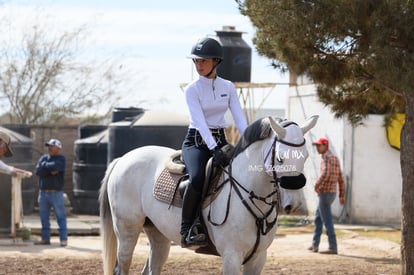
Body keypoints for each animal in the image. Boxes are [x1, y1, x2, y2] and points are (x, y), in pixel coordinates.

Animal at [98, 115, 318, 274]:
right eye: (280, 158)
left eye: (305, 156)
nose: (293, 205)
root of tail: (123, 158)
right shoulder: (231, 257)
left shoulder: (257, 259)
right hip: (127, 231)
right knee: (122, 266)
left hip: (158, 235)